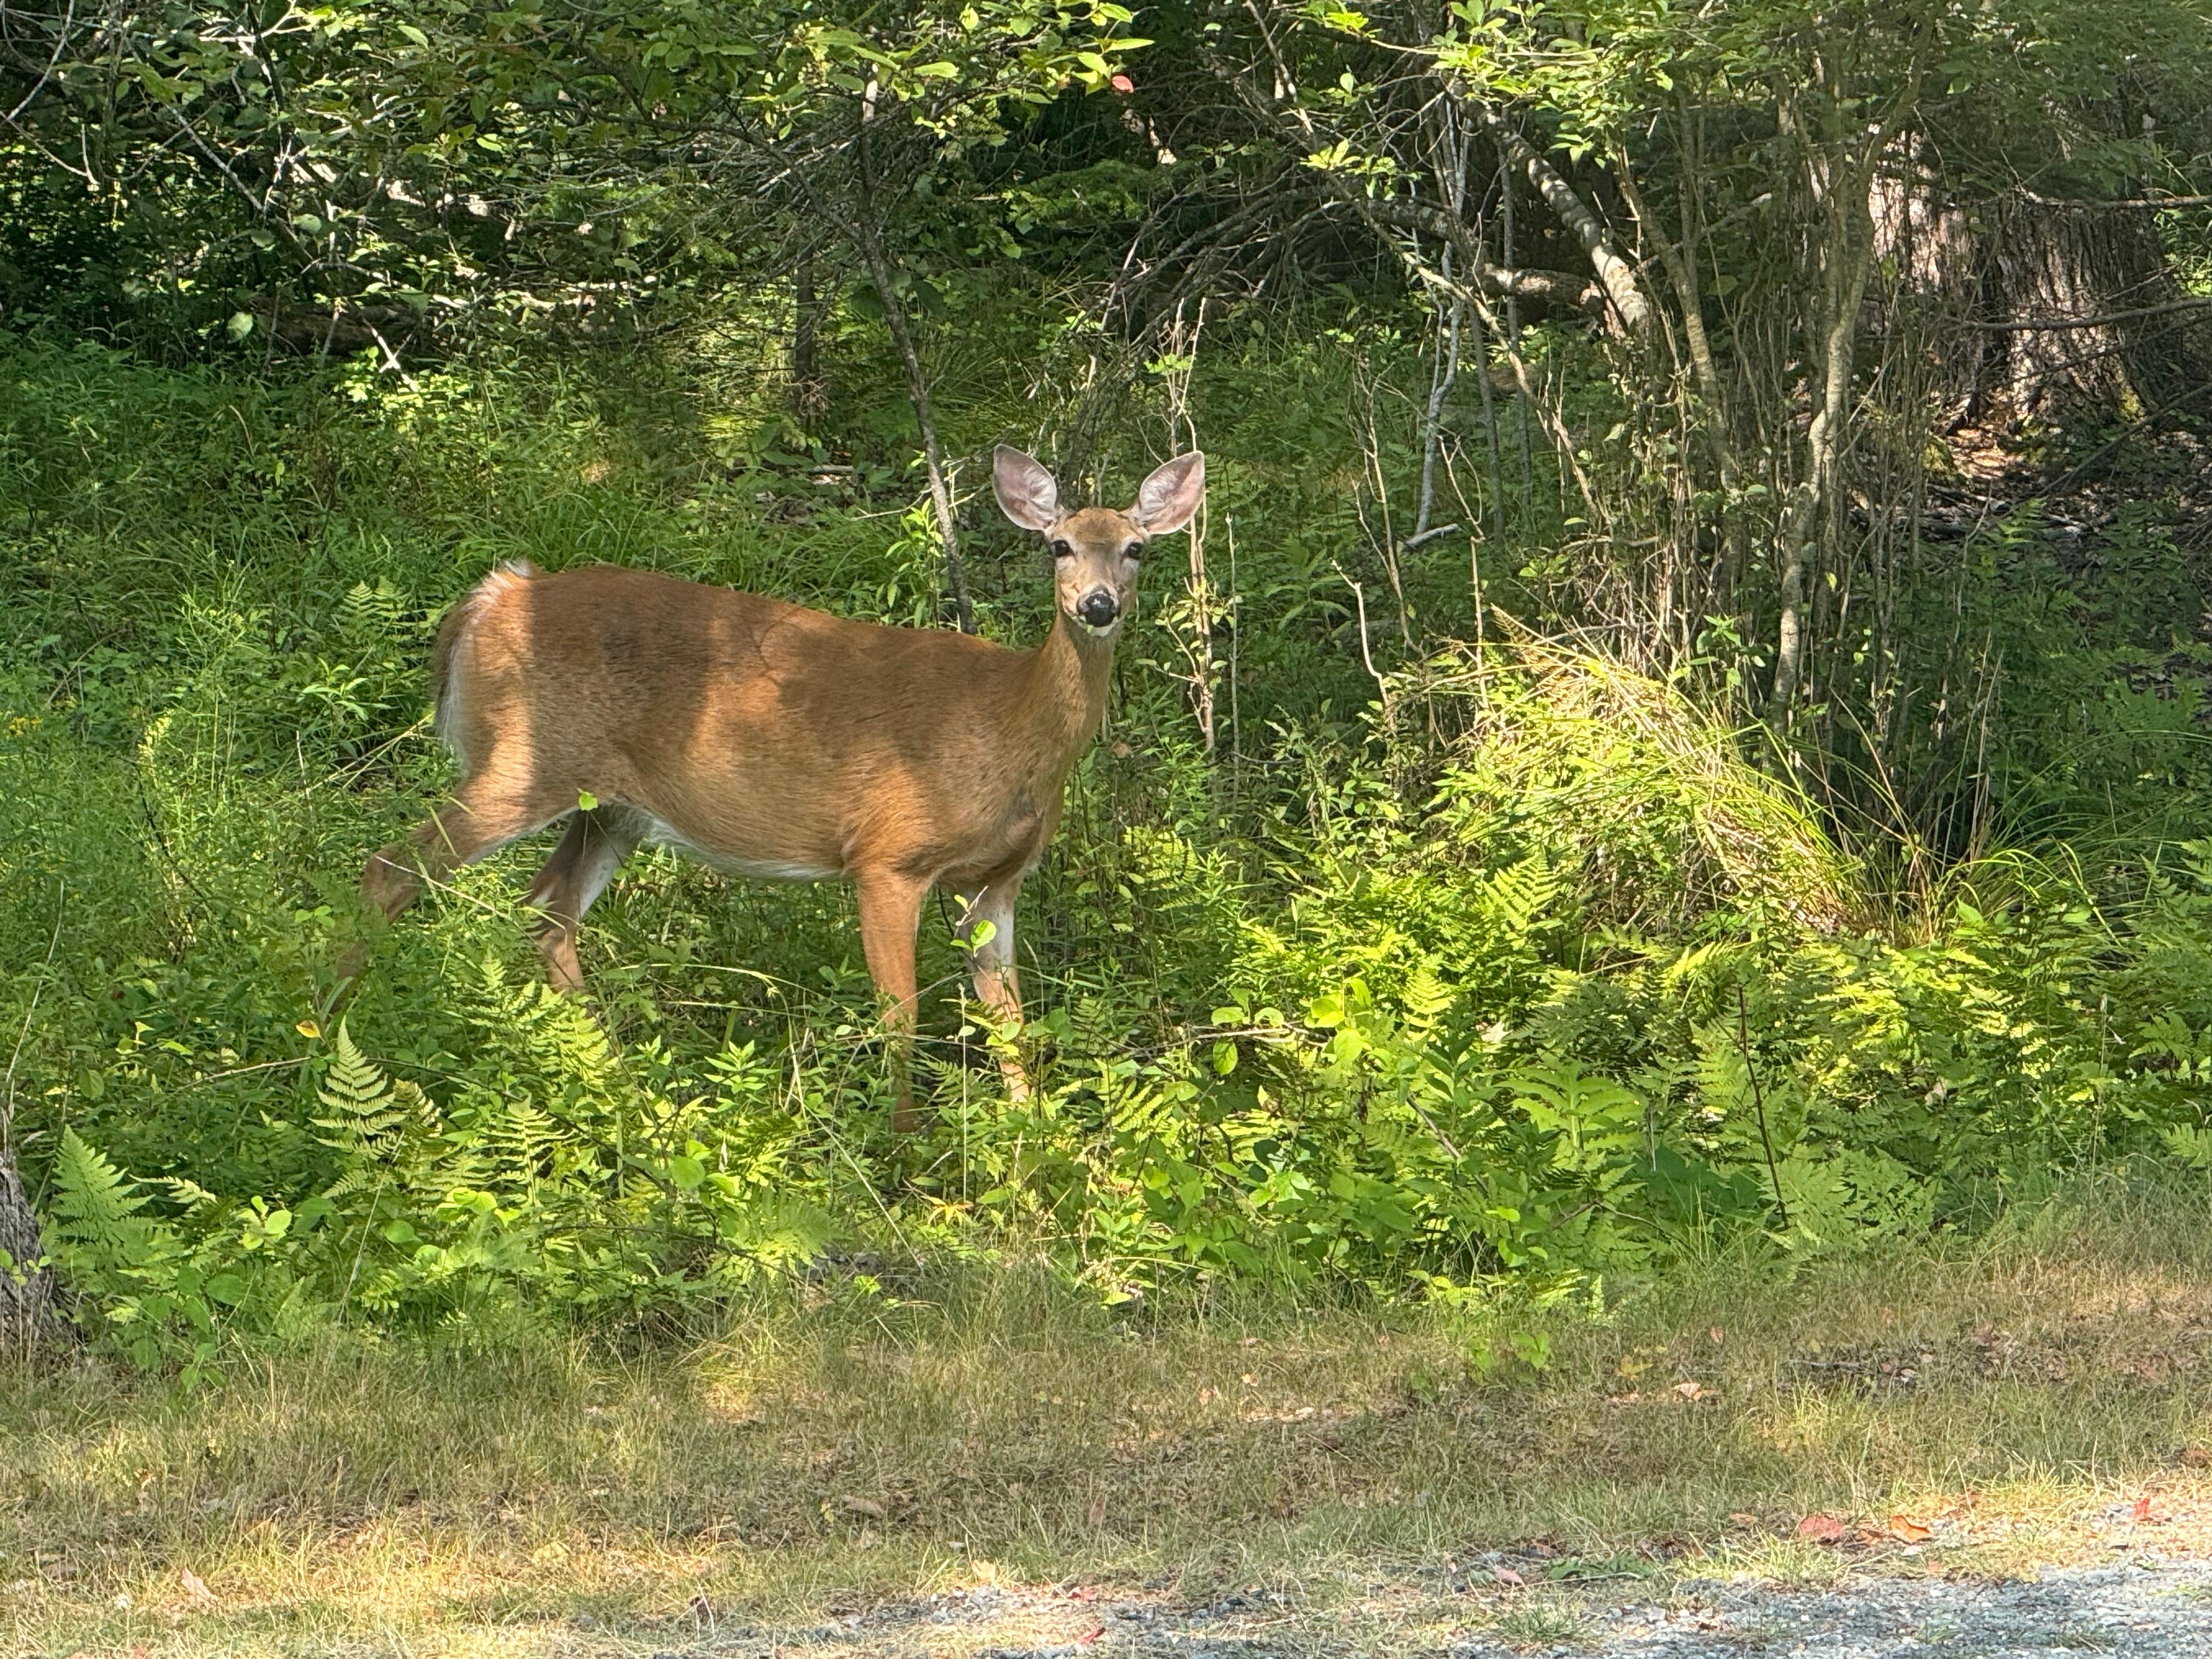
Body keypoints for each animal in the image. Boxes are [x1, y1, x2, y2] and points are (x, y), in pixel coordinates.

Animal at [357, 445, 1205, 1126]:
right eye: (1058, 545)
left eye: (1136, 550)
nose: (1098, 605)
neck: (1010, 729)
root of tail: (491, 598)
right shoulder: (887, 855)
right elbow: (901, 1014)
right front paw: (904, 1145)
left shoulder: (996, 882)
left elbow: (1010, 1020)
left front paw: (1034, 1138)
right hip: (523, 762)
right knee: (390, 868)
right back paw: (343, 1024)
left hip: (613, 808)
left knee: (547, 910)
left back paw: (619, 1085)